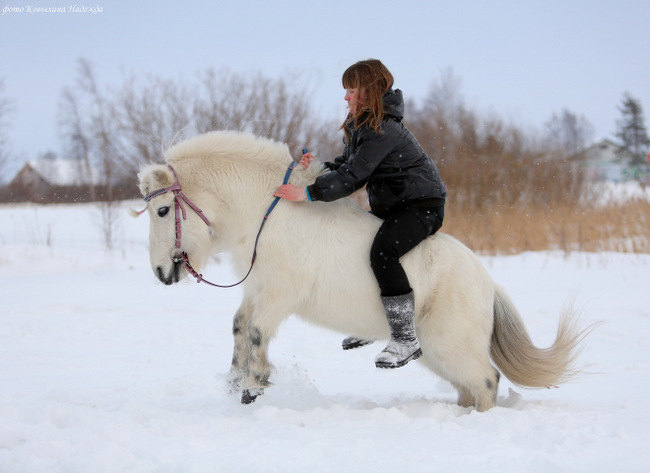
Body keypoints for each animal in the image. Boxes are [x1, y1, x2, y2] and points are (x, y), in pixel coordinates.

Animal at [138, 129, 588, 410]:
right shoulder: (257, 289)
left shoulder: (281, 295)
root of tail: (489, 284)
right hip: (436, 354)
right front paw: (234, 381)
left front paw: (254, 385)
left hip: (452, 346)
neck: (268, 214)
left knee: (488, 381)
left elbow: (256, 332)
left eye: (162, 211)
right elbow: (238, 326)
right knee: (470, 387)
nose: (161, 272)